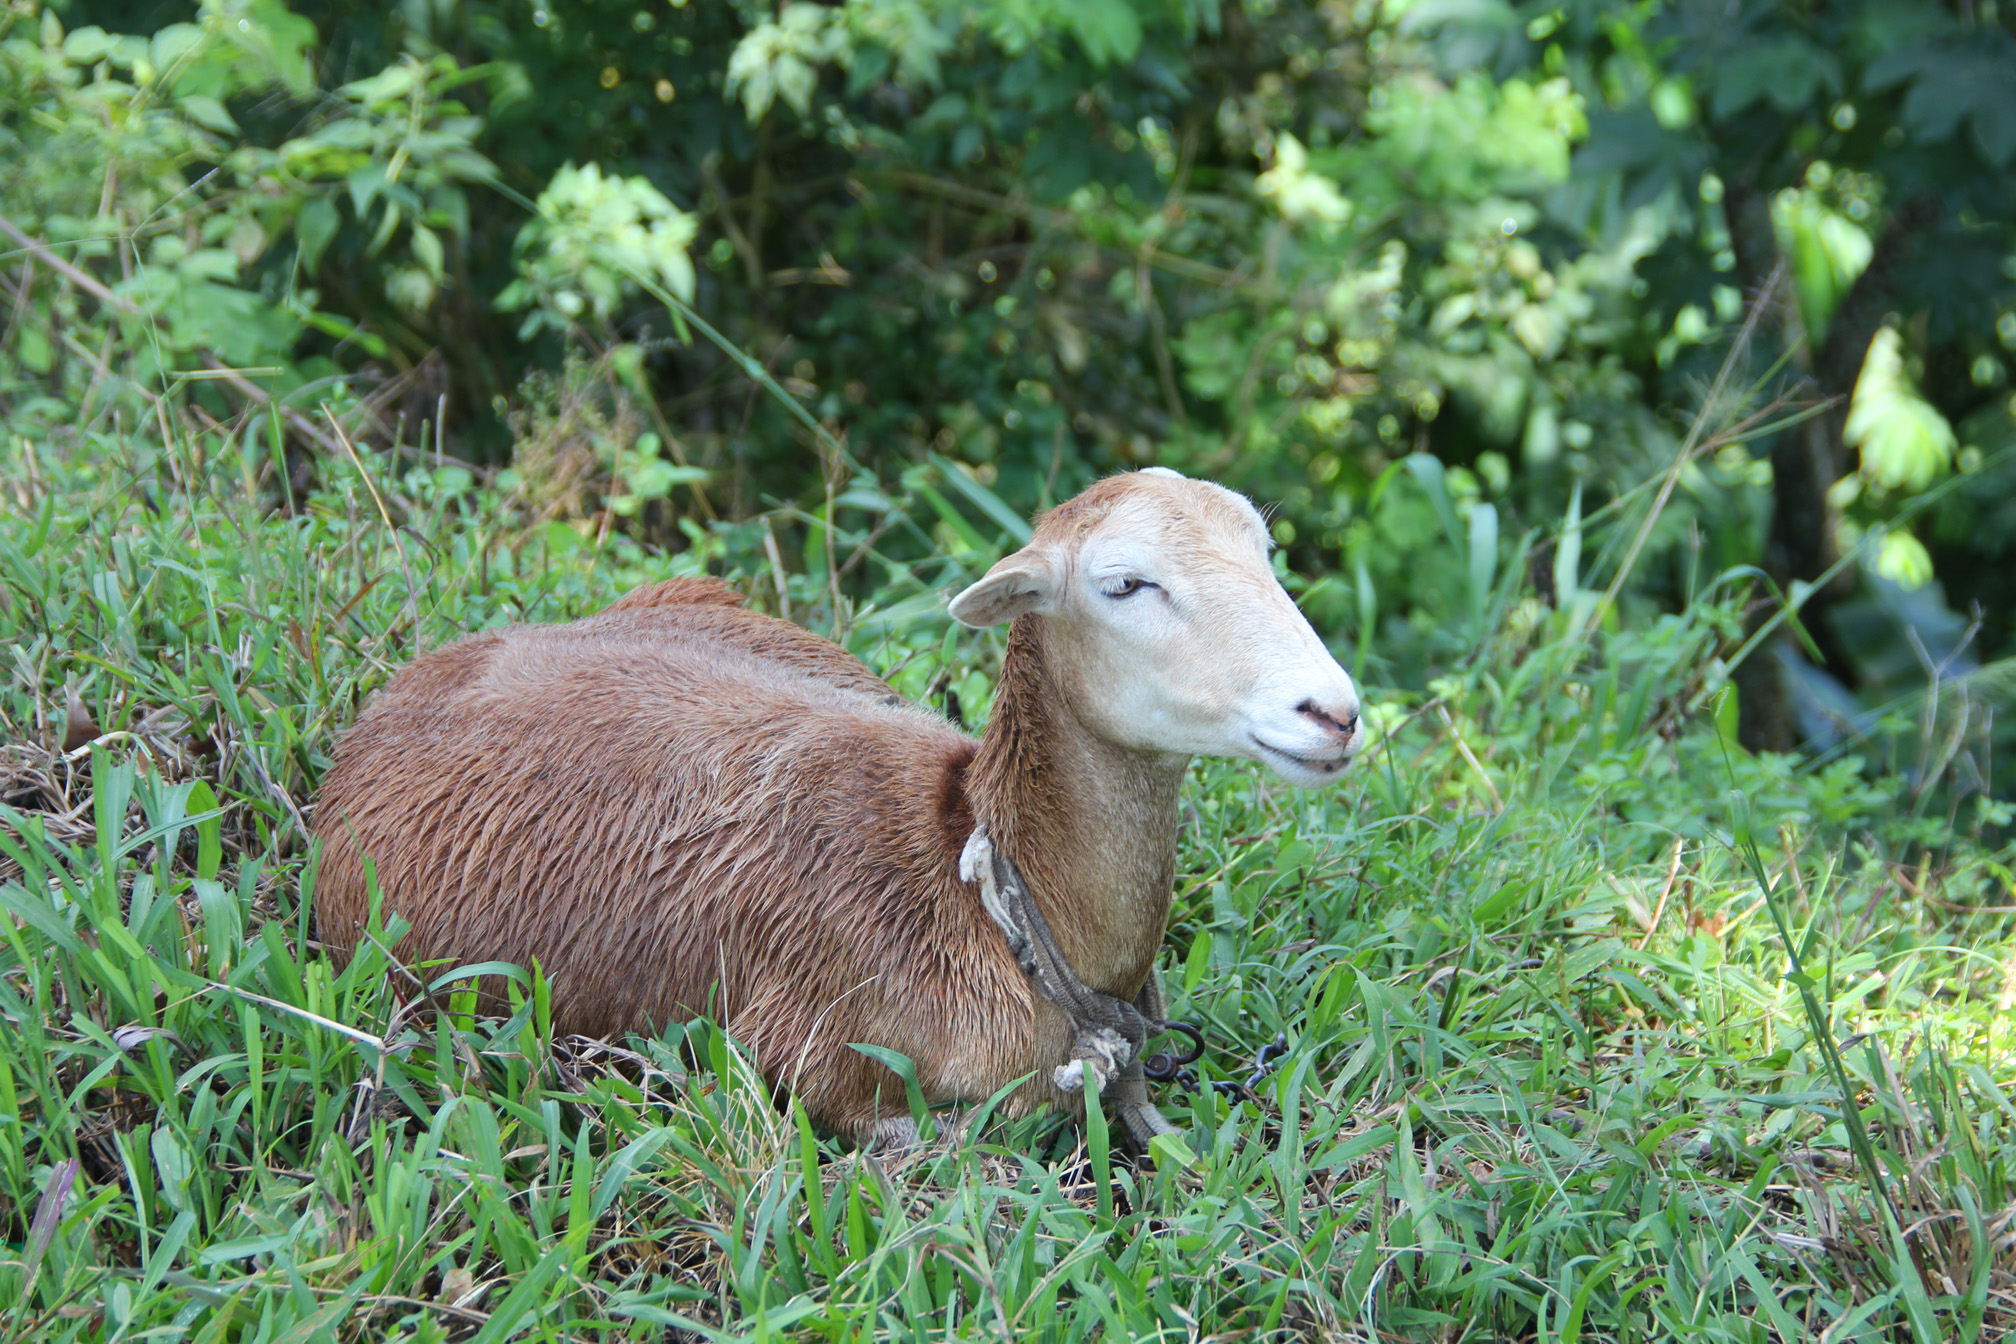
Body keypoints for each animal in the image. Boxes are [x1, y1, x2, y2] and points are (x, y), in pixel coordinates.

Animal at [306, 471, 1362, 1144]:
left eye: (1267, 555)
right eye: (1126, 583)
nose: (1335, 711)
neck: (989, 889)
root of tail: (415, 678)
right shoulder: (813, 1065)